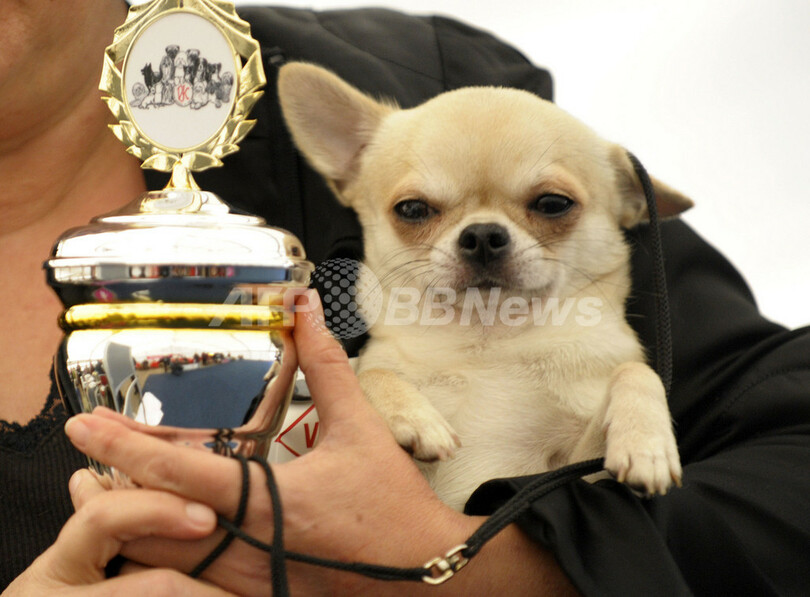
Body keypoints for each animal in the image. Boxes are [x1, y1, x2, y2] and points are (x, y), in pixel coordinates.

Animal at [278, 60, 688, 510]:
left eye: (553, 203)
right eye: (413, 209)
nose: (482, 235)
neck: (487, 343)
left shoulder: (574, 473)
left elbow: (635, 371)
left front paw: (647, 446)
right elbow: (372, 374)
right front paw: (416, 419)